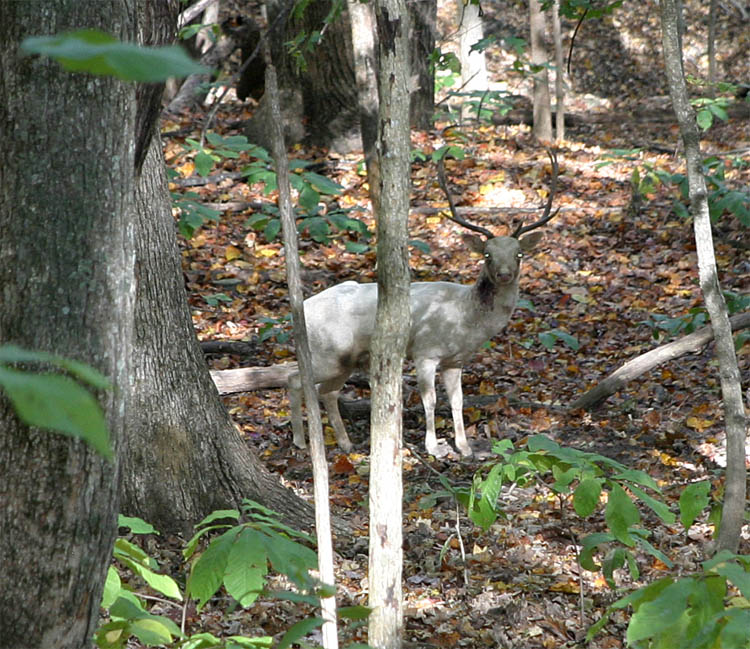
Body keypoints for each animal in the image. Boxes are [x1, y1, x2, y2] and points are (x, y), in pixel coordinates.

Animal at [290, 150, 560, 458]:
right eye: (487, 255)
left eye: (518, 254)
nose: (504, 274)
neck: (465, 321)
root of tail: (298, 310)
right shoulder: (425, 351)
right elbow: (429, 400)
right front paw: (434, 447)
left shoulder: (456, 360)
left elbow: (458, 400)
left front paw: (464, 446)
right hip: (328, 352)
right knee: (294, 379)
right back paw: (299, 439)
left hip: (345, 358)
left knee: (327, 391)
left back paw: (345, 443)